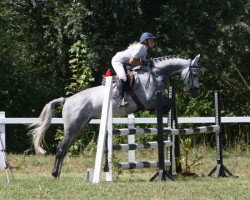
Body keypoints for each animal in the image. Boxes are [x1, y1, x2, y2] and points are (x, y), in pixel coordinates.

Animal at [29, 54, 201, 177]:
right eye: (194, 73)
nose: (196, 93)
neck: (154, 74)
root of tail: (67, 100)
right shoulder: (150, 102)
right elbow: (170, 103)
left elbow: (171, 104)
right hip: (73, 127)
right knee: (60, 149)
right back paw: (55, 174)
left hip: (80, 126)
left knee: (64, 149)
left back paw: (58, 173)